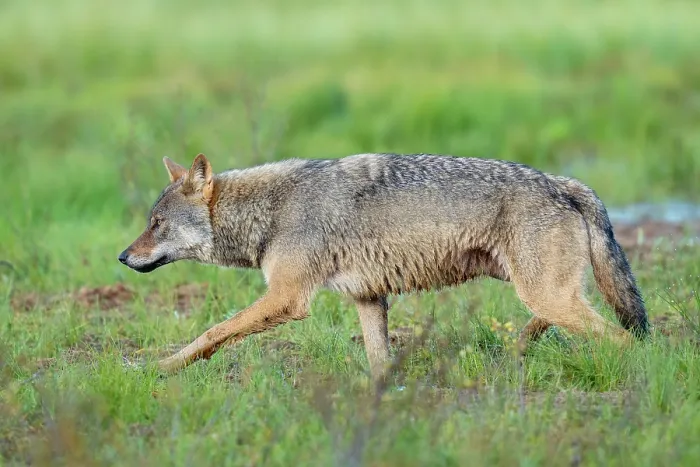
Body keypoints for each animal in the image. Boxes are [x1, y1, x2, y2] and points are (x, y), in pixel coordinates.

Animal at [118, 152, 648, 381]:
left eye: (156, 224)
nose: (122, 257)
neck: (272, 209)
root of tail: (564, 183)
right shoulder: (368, 297)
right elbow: (379, 362)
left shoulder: (287, 299)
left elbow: (210, 333)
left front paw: (156, 368)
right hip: (545, 293)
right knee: (560, 323)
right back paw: (516, 350)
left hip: (545, 293)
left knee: (625, 340)